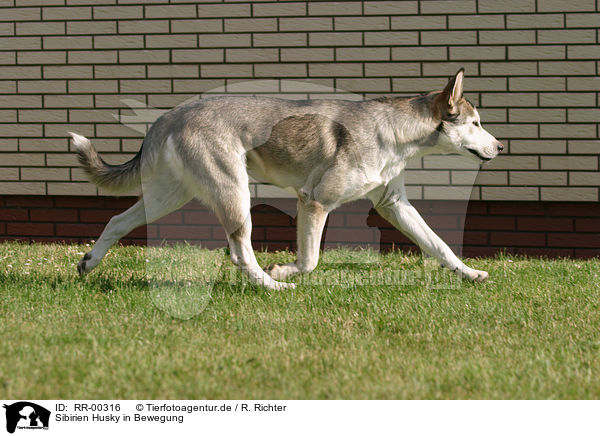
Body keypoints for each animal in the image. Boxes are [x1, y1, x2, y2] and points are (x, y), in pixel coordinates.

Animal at [69, 70, 502, 290]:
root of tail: (170, 116)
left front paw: (470, 274)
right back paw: (271, 286)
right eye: (476, 123)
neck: (392, 132)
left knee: (116, 221)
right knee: (241, 252)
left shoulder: (394, 206)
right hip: (234, 195)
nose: (500, 147)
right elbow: (309, 260)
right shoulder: (315, 201)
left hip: (169, 197)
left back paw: (90, 263)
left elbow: (440, 246)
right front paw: (283, 271)